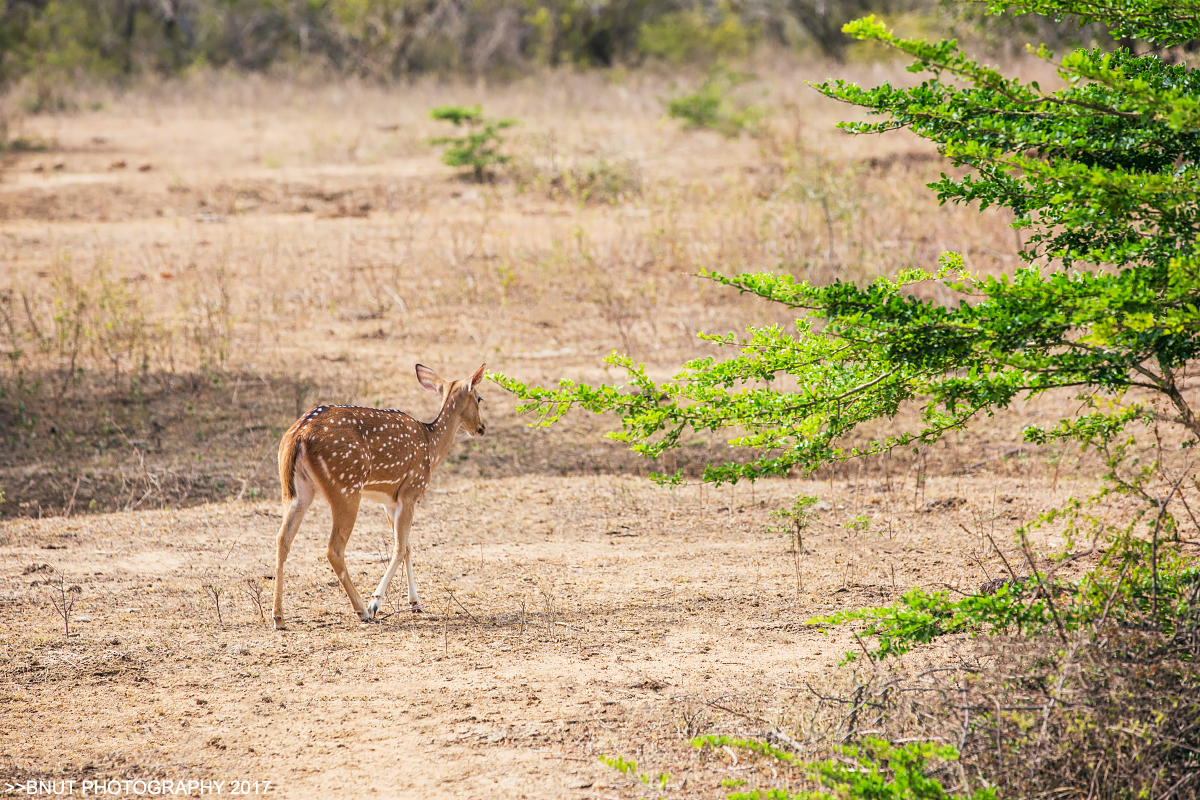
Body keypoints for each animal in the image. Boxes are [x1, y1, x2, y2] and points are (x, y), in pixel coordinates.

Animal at [273, 364, 487, 633]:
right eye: (479, 398)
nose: (482, 428)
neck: (432, 446)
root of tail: (298, 435)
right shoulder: (410, 491)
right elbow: (399, 547)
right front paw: (376, 602)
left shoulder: (390, 501)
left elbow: (408, 545)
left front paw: (415, 602)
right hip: (346, 487)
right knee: (334, 548)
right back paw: (362, 610)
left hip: (295, 491)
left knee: (282, 539)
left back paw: (279, 617)